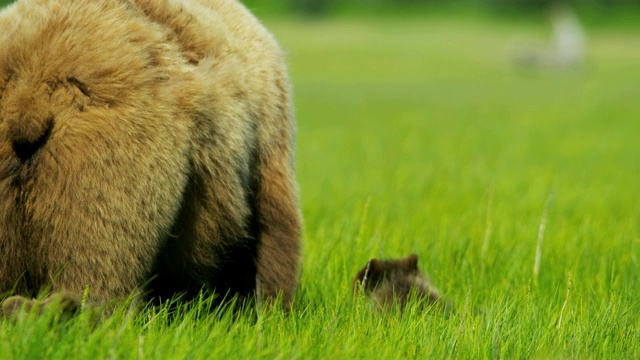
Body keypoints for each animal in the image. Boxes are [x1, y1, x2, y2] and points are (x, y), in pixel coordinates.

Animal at [0, 0, 302, 316]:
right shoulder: (267, 132)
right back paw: (70, 307)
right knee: (101, 243)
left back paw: (23, 308)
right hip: (120, 142)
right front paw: (271, 304)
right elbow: (275, 227)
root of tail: (31, 89)